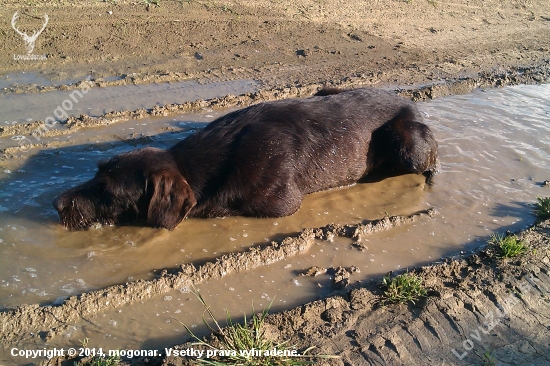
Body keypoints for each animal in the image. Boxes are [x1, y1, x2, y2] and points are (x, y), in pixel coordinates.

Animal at [51, 88, 440, 229]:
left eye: (109, 190)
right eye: (96, 172)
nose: (56, 203)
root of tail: (409, 101)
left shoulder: (283, 203)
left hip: (411, 149)